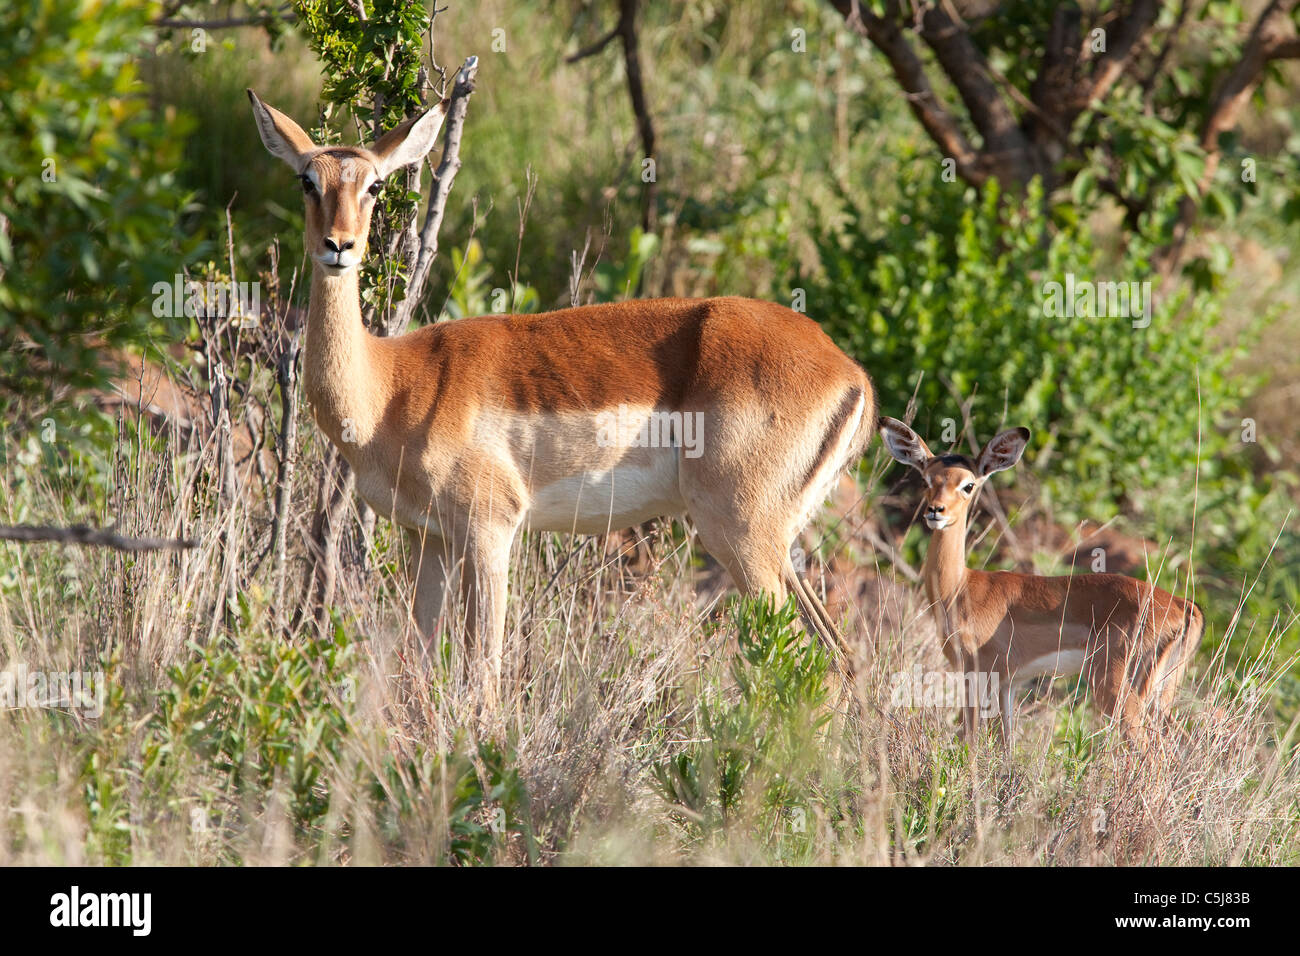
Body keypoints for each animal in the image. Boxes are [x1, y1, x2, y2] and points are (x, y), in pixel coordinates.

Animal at [247, 90, 875, 708]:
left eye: (375, 185)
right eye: (307, 180)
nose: (339, 246)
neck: (391, 385)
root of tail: (850, 373)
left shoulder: (490, 530)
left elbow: (484, 675)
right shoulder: (426, 539)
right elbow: (420, 666)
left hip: (741, 534)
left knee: (802, 658)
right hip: (775, 543)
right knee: (838, 657)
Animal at [879, 417, 1204, 748]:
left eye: (967, 485)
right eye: (927, 480)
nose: (936, 510)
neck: (959, 589)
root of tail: (1184, 607)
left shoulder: (977, 674)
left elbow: (970, 740)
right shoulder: (1009, 684)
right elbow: (1006, 746)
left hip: (1116, 686)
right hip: (1159, 694)